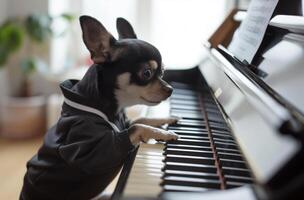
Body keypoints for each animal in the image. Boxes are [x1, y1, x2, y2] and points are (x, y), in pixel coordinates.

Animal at [19, 16, 178, 200]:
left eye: (163, 71)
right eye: (147, 73)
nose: (171, 89)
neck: (112, 108)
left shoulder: (125, 123)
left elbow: (142, 119)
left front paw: (166, 119)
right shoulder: (96, 151)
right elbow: (137, 127)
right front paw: (163, 133)